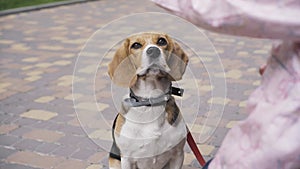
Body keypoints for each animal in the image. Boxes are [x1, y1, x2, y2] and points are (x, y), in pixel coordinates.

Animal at [107, 32, 188, 168]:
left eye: (161, 41)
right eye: (136, 45)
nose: (153, 51)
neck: (152, 101)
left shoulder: (177, 155)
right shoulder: (127, 160)